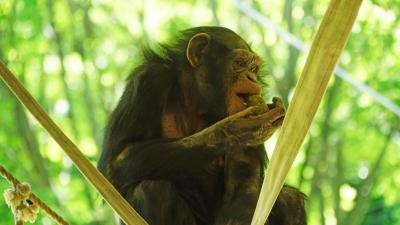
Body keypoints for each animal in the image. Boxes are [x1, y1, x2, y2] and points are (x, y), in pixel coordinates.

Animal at [97, 26, 306, 225]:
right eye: (239, 63)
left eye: (254, 68)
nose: (252, 79)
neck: (197, 100)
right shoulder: (147, 81)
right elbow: (116, 161)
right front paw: (234, 131)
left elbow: (245, 188)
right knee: (152, 189)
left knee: (291, 200)